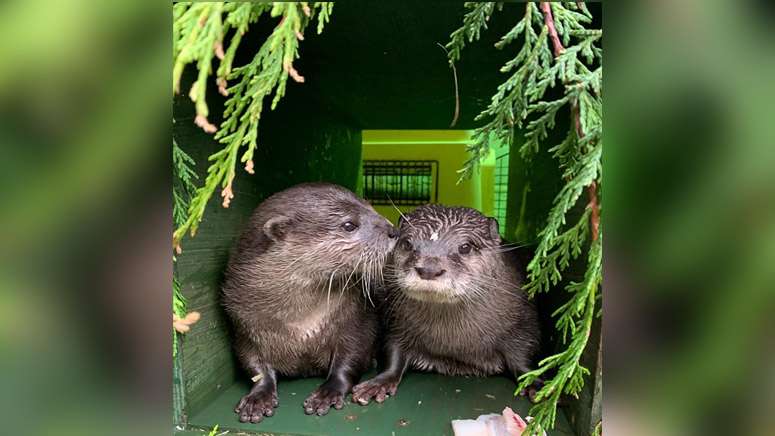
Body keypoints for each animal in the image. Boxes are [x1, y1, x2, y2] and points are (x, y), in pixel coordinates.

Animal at [222, 183, 398, 422]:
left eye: (371, 207)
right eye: (349, 225)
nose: (393, 230)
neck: (300, 322)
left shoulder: (357, 319)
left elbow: (350, 357)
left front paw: (328, 393)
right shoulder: (244, 326)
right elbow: (254, 365)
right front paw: (257, 398)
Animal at [352, 204, 540, 405]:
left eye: (465, 247)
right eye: (408, 243)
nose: (429, 269)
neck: (455, 344)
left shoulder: (523, 325)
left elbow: (523, 359)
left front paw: (536, 384)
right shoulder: (396, 323)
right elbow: (393, 352)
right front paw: (379, 383)